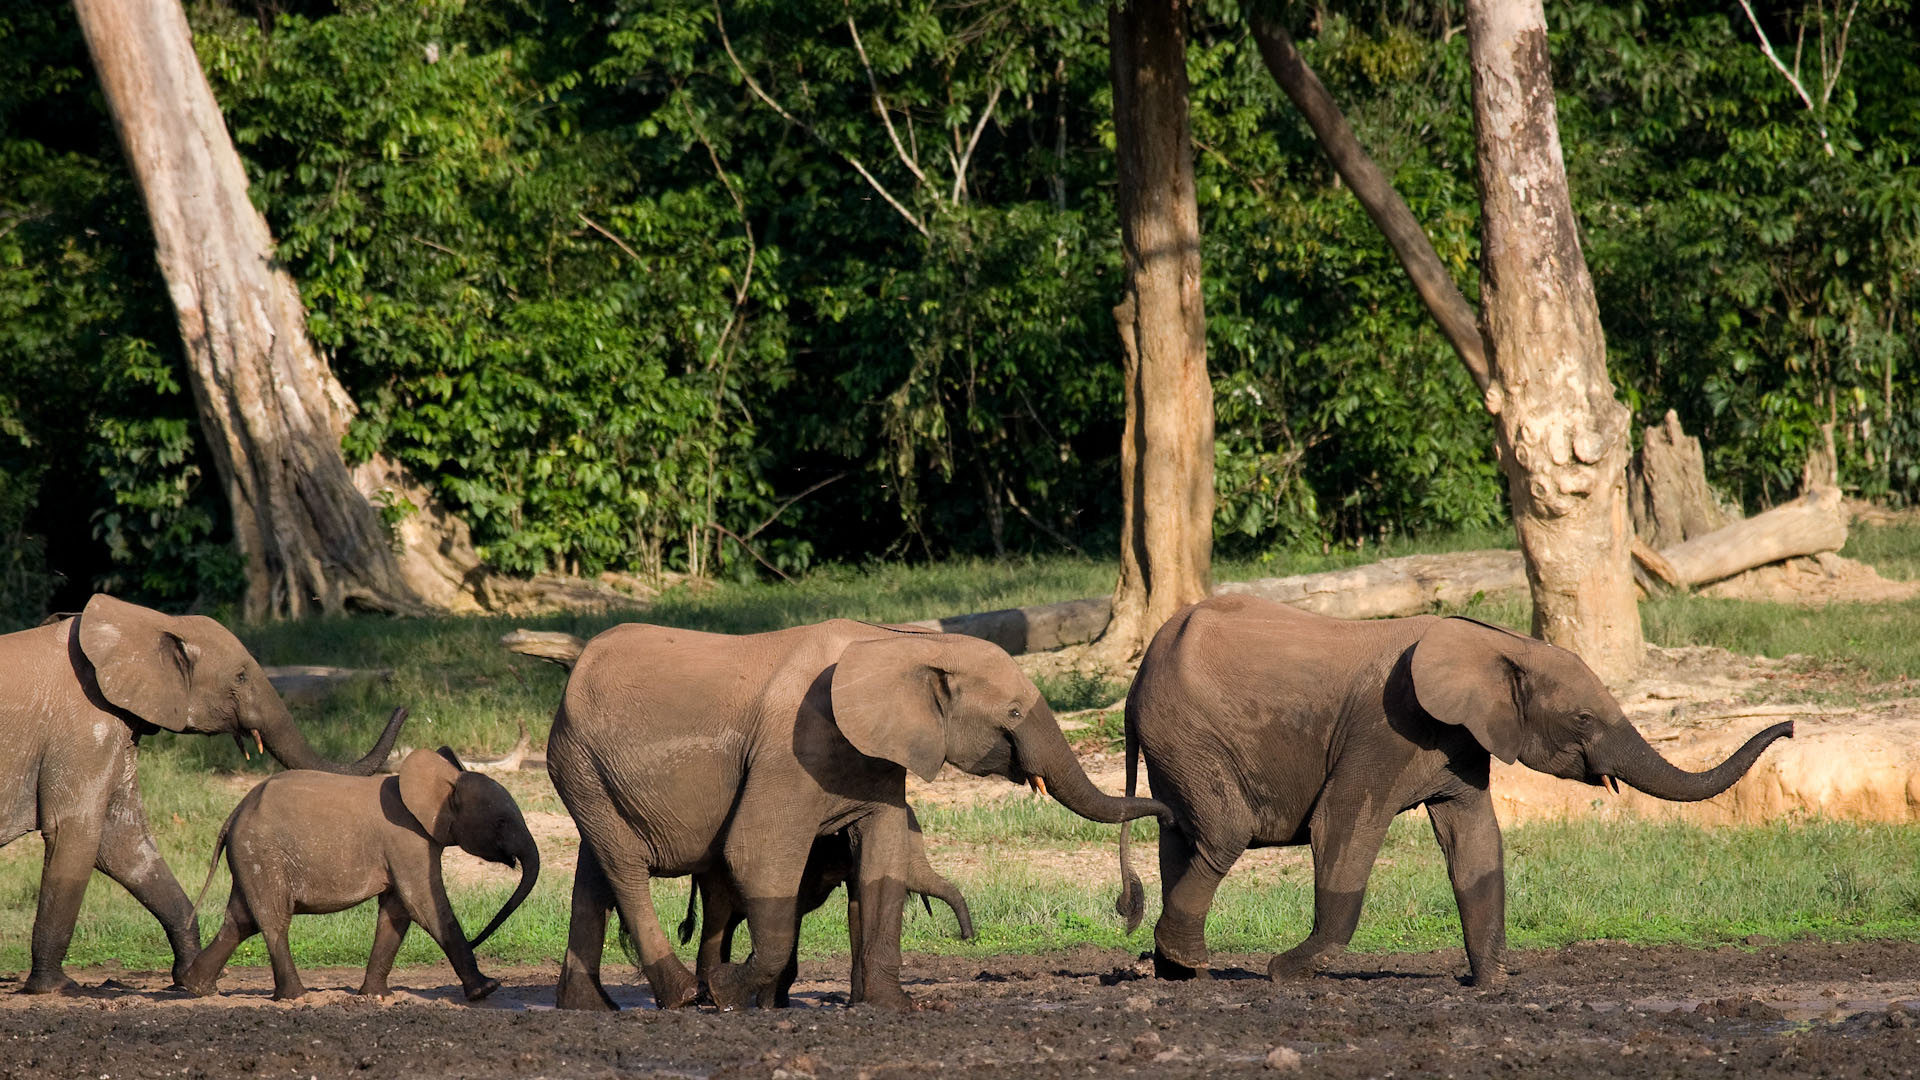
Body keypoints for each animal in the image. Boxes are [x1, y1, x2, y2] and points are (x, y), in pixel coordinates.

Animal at [0, 591, 405, 991]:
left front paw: (189, 980)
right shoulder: (84, 728)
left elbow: (125, 845)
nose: (402, 705)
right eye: (240, 676)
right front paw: (56, 987)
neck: (145, 622)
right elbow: (76, 832)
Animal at [183, 745, 541, 999]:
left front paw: (376, 996)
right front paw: (486, 990)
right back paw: (296, 997)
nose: (480, 938)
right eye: (501, 822)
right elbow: (424, 905)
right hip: (262, 853)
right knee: (272, 921)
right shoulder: (406, 841)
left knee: (240, 921)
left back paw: (196, 987)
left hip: (251, 857)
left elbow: (397, 912)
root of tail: (233, 814)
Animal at [675, 803, 975, 1006]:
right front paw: (771, 1006)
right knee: (720, 916)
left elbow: (856, 910)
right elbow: (794, 912)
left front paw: (855, 1003)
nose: (966, 936)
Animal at [1121, 591, 1789, 991]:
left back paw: (1176, 973)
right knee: (1223, 832)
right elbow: (1342, 825)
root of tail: (1141, 671)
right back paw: (1194, 967)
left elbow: (1476, 844)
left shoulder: (1460, 740)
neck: (1501, 644)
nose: (1786, 727)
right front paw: (1286, 972)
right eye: (1582, 720)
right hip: (1187, 731)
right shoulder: (1384, 728)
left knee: (1180, 835)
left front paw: (1490, 984)